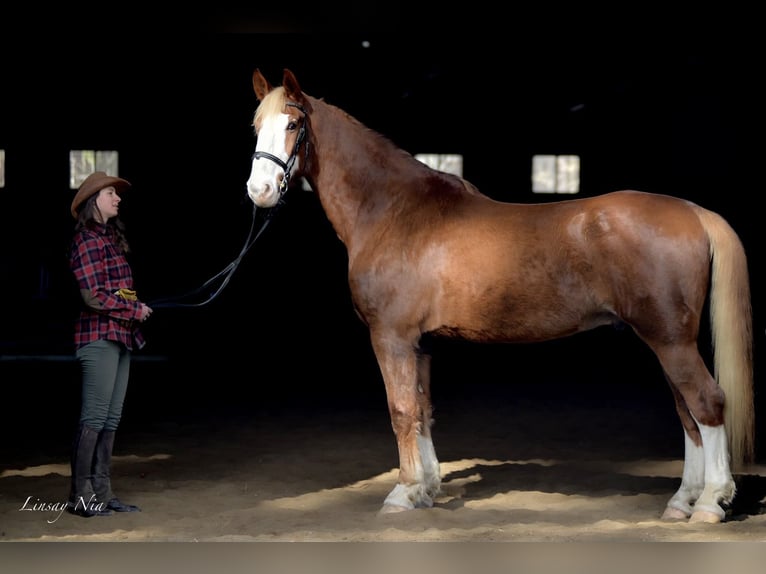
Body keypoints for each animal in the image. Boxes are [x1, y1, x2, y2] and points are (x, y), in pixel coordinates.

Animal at [244, 68, 756, 528]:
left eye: (293, 125)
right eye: (256, 126)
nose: (259, 191)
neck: (394, 211)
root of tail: (694, 212)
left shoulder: (392, 337)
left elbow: (401, 410)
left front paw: (402, 493)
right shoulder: (421, 343)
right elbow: (423, 410)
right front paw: (426, 489)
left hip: (670, 341)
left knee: (707, 403)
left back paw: (710, 502)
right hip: (665, 340)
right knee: (687, 413)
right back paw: (682, 501)